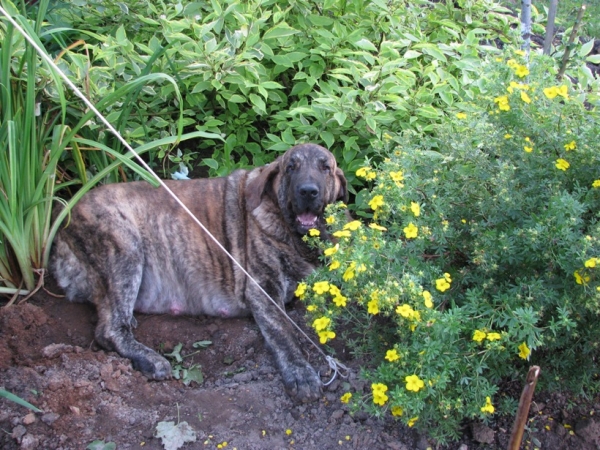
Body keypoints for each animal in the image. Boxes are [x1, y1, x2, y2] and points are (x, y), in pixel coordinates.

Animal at [50, 143, 346, 400]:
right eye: (291, 168)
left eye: (325, 168)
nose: (308, 191)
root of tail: (63, 223)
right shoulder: (263, 289)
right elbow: (283, 332)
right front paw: (300, 371)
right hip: (124, 246)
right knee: (109, 329)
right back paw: (149, 359)